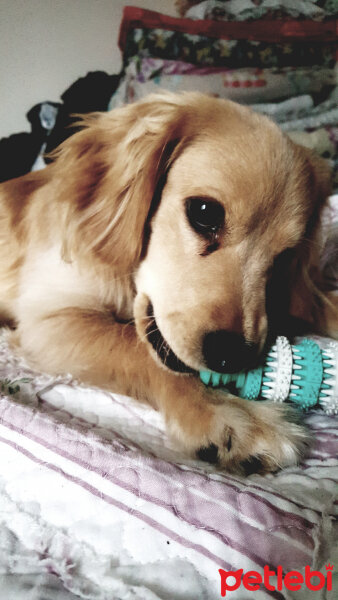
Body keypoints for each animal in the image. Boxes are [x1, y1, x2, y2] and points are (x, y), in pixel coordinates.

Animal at [0, 92, 336, 474]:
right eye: (204, 212)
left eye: (284, 257)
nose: (230, 358)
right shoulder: (49, 320)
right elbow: (138, 350)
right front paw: (230, 413)